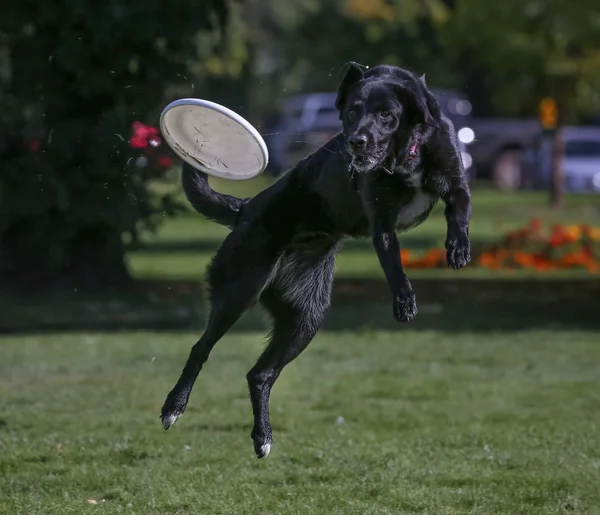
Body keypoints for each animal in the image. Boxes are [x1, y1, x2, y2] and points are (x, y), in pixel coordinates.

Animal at [162, 62, 472, 458]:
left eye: (386, 115)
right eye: (352, 112)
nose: (356, 142)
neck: (405, 155)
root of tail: (245, 208)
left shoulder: (454, 179)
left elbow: (459, 208)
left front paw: (457, 247)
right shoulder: (381, 222)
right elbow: (393, 264)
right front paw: (404, 300)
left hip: (306, 317)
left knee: (260, 374)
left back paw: (263, 436)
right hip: (240, 290)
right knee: (201, 348)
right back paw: (174, 407)